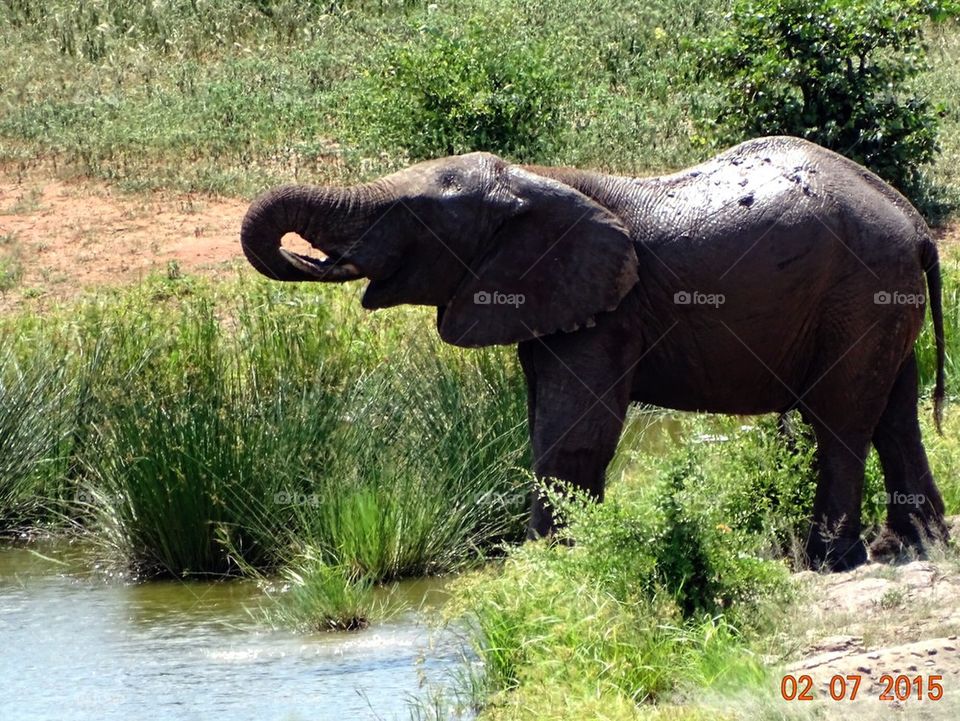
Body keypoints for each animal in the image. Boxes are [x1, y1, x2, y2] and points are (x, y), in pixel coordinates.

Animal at [240, 136, 948, 571]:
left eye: (412, 213)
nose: (312, 257)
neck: (535, 179)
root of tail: (915, 223)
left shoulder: (609, 309)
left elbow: (574, 432)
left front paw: (543, 567)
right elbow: (544, 420)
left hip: (858, 288)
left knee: (841, 418)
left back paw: (828, 559)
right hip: (880, 295)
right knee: (895, 412)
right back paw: (910, 546)